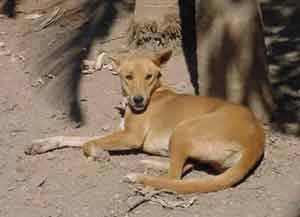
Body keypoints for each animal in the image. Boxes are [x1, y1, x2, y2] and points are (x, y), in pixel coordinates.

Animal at [26, 50, 264, 193]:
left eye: (149, 76)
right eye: (128, 76)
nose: (138, 100)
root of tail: (257, 139)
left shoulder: (131, 137)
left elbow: (87, 143)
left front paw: (99, 153)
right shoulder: (120, 132)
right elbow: (74, 138)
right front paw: (42, 144)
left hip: (183, 130)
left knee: (175, 178)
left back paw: (139, 177)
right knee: (185, 167)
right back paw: (149, 162)